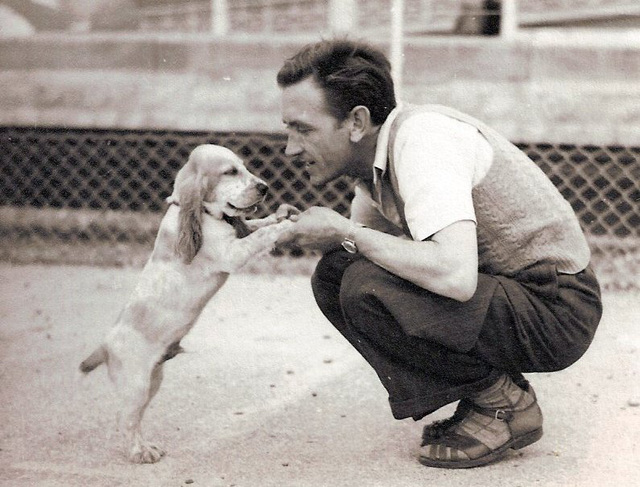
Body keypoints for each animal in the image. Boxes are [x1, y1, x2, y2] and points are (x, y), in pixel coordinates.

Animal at [80, 144, 298, 466]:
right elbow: (261, 233)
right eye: (230, 172)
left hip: (153, 380)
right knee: (126, 419)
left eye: (244, 167)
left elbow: (258, 224)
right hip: (136, 384)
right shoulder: (232, 253)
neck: (206, 215)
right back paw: (140, 452)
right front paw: (290, 223)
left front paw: (283, 213)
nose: (265, 187)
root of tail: (105, 345)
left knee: (136, 415)